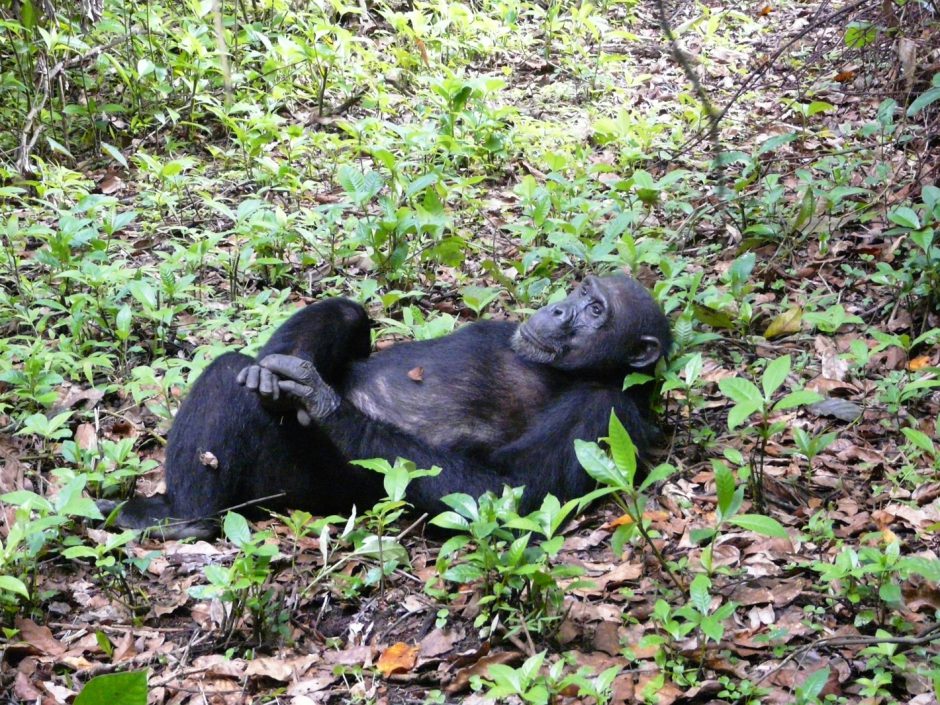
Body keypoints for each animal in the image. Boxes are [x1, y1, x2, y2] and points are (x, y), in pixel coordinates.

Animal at [104, 272, 668, 536]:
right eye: (579, 291)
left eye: (595, 310)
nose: (559, 310)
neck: (567, 372)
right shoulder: (505, 328)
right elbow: (354, 327)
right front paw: (283, 365)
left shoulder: (605, 418)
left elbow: (508, 492)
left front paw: (322, 401)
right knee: (236, 374)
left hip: (292, 486)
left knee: (225, 377)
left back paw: (183, 517)